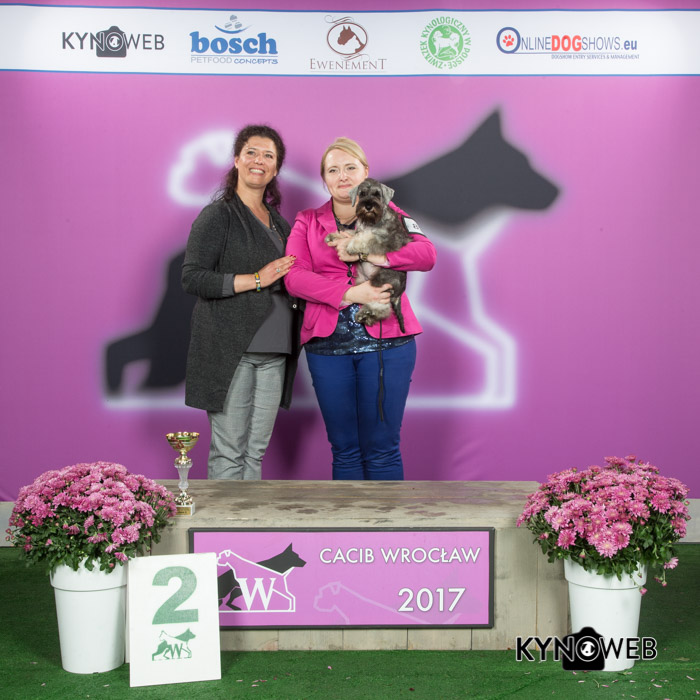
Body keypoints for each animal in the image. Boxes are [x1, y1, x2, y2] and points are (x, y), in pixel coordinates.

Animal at [326, 178, 412, 332]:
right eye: (362, 193)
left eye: (377, 194)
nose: (368, 206)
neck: (370, 221)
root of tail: (399, 294)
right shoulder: (359, 230)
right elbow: (352, 233)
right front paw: (334, 236)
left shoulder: (384, 239)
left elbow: (365, 238)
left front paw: (350, 246)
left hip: (381, 280)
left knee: (383, 306)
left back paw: (366, 314)